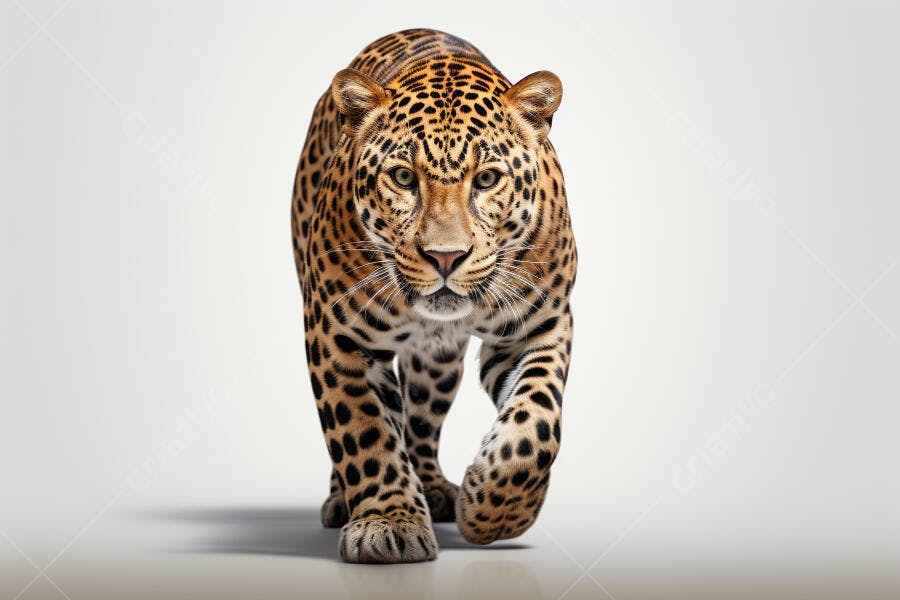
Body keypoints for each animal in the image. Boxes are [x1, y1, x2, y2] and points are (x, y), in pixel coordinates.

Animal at [291, 29, 576, 563]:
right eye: (404, 178)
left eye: (486, 179)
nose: (446, 258)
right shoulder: (336, 337)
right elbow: (364, 434)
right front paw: (388, 523)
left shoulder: (539, 330)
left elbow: (536, 427)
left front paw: (497, 511)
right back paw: (343, 500)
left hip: (436, 363)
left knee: (420, 419)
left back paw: (435, 487)